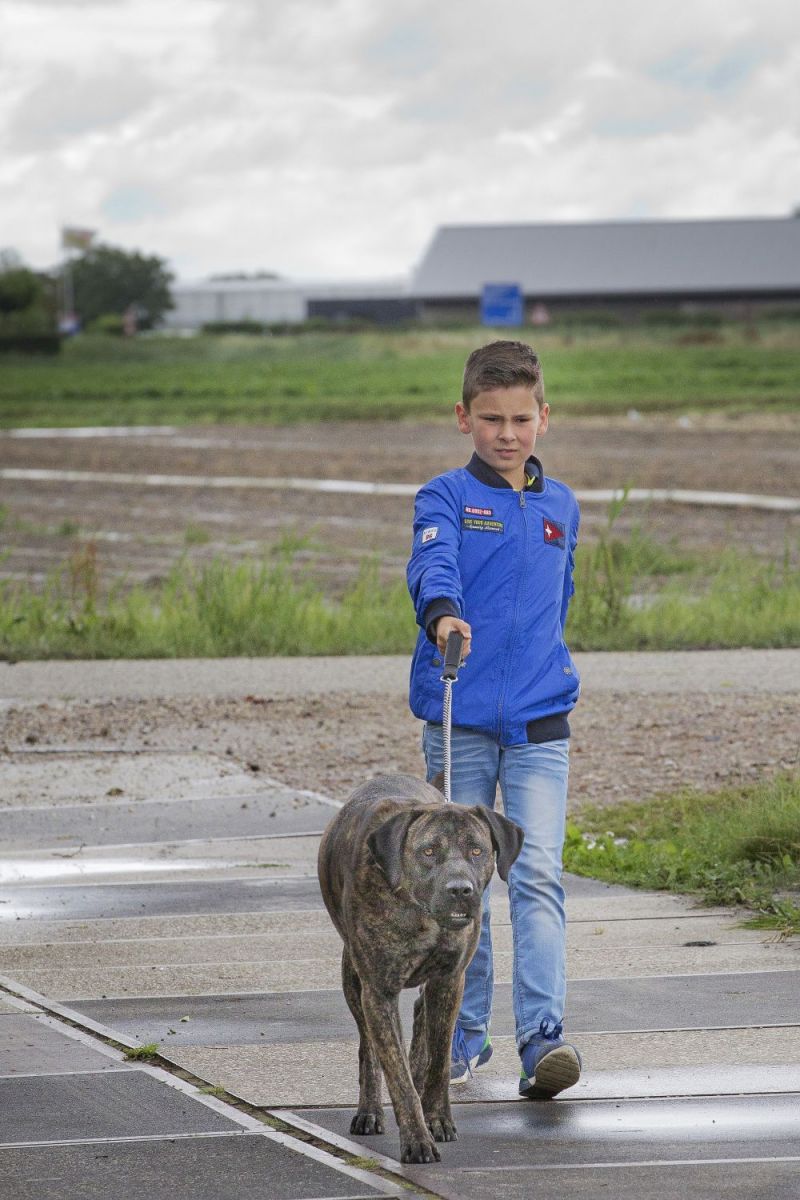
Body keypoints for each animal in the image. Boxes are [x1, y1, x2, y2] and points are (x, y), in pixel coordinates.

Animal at [319, 777, 525, 1161]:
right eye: (429, 851)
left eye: (477, 851)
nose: (460, 890)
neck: (420, 912)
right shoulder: (379, 991)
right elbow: (394, 1069)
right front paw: (416, 1137)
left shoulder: (450, 980)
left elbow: (439, 1060)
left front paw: (438, 1118)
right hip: (353, 977)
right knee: (369, 1047)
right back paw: (370, 1110)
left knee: (419, 1016)